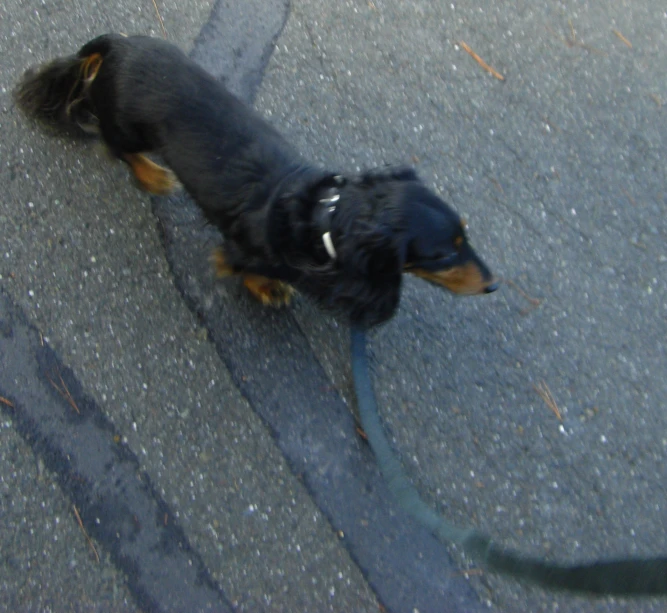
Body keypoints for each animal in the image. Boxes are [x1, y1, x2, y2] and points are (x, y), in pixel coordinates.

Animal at [14, 33, 496, 328]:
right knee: (117, 148)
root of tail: (118, 43)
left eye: (465, 235)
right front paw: (269, 288)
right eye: (442, 253)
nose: (493, 285)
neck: (326, 220)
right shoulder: (241, 251)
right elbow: (242, 269)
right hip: (128, 127)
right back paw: (153, 175)